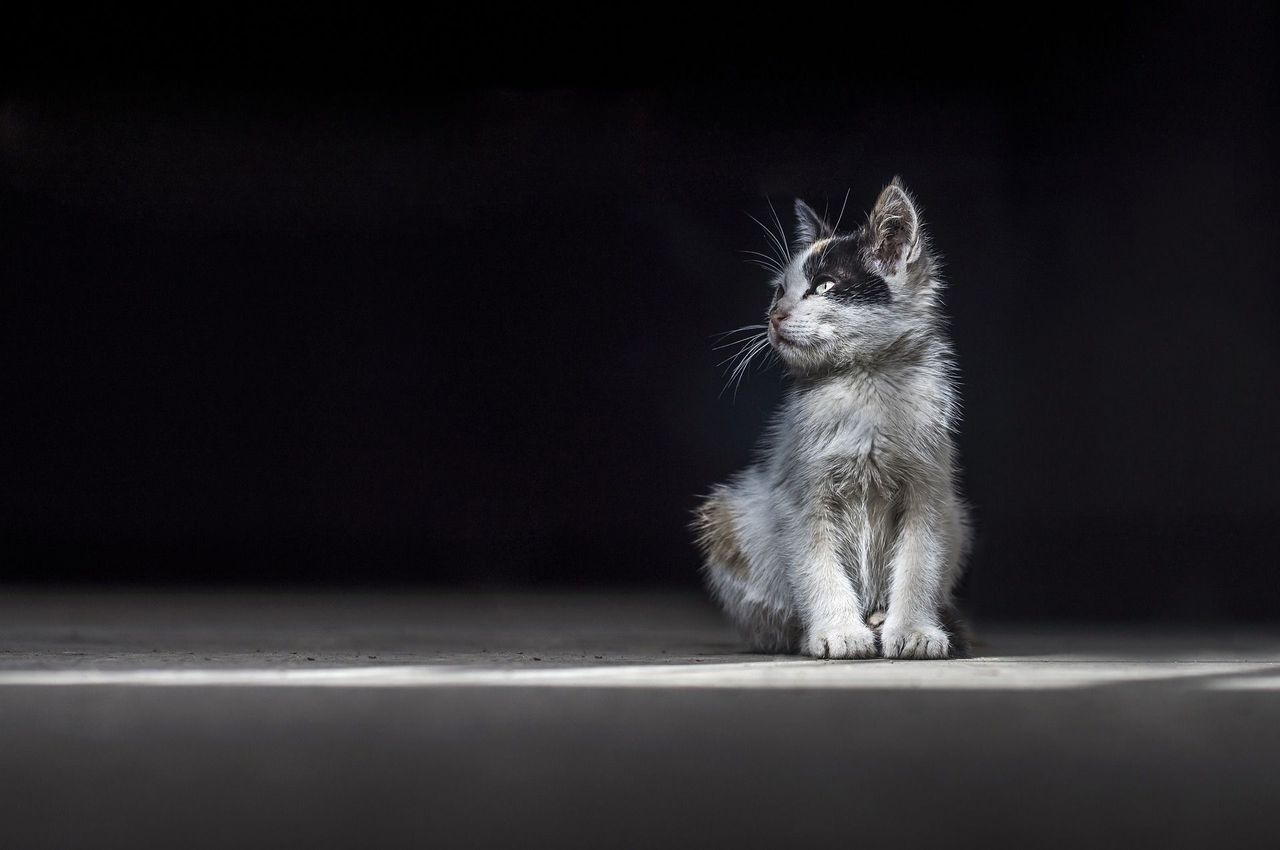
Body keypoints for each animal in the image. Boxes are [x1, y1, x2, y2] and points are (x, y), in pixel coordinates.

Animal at [701, 177, 967, 655]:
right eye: (778, 291)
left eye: (824, 286)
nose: (774, 316)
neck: (866, 388)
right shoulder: (798, 492)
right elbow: (816, 565)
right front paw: (838, 632)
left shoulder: (930, 488)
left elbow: (920, 561)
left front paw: (914, 631)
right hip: (729, 515)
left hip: (958, 517)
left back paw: (880, 618)